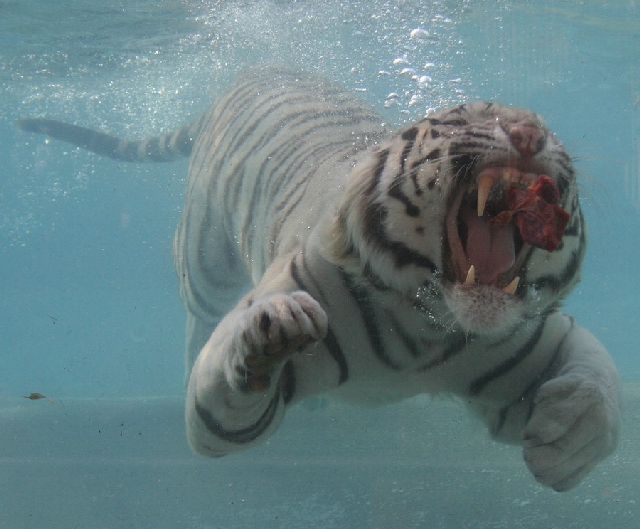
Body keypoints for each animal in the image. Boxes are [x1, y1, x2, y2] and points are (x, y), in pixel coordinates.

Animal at [20, 67, 620, 490]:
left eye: (555, 135)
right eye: (468, 115)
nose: (528, 131)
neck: (426, 327)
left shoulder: (538, 335)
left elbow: (600, 385)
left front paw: (564, 437)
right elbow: (225, 387)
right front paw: (269, 333)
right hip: (203, 258)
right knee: (199, 316)